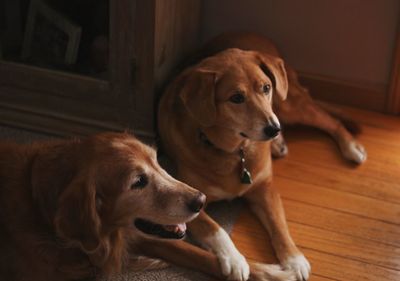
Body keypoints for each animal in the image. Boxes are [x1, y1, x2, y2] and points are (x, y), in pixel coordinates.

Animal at [157, 31, 368, 280]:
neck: (235, 151)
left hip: (287, 104)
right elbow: (216, 229)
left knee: (331, 121)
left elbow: (279, 225)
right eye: (236, 98)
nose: (273, 129)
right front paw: (235, 259)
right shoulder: (188, 201)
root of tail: (250, 34)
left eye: (266, 87)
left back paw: (351, 147)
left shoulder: (265, 189)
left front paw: (294, 259)